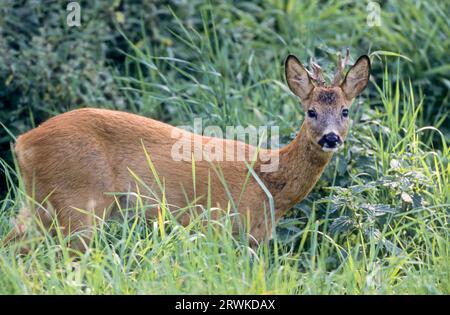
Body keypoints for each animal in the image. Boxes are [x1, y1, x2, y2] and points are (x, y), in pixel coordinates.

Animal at [2, 51, 370, 254]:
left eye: (345, 110)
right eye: (311, 111)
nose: (331, 138)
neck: (269, 181)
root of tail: (22, 143)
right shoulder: (222, 224)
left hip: (41, 203)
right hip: (77, 203)